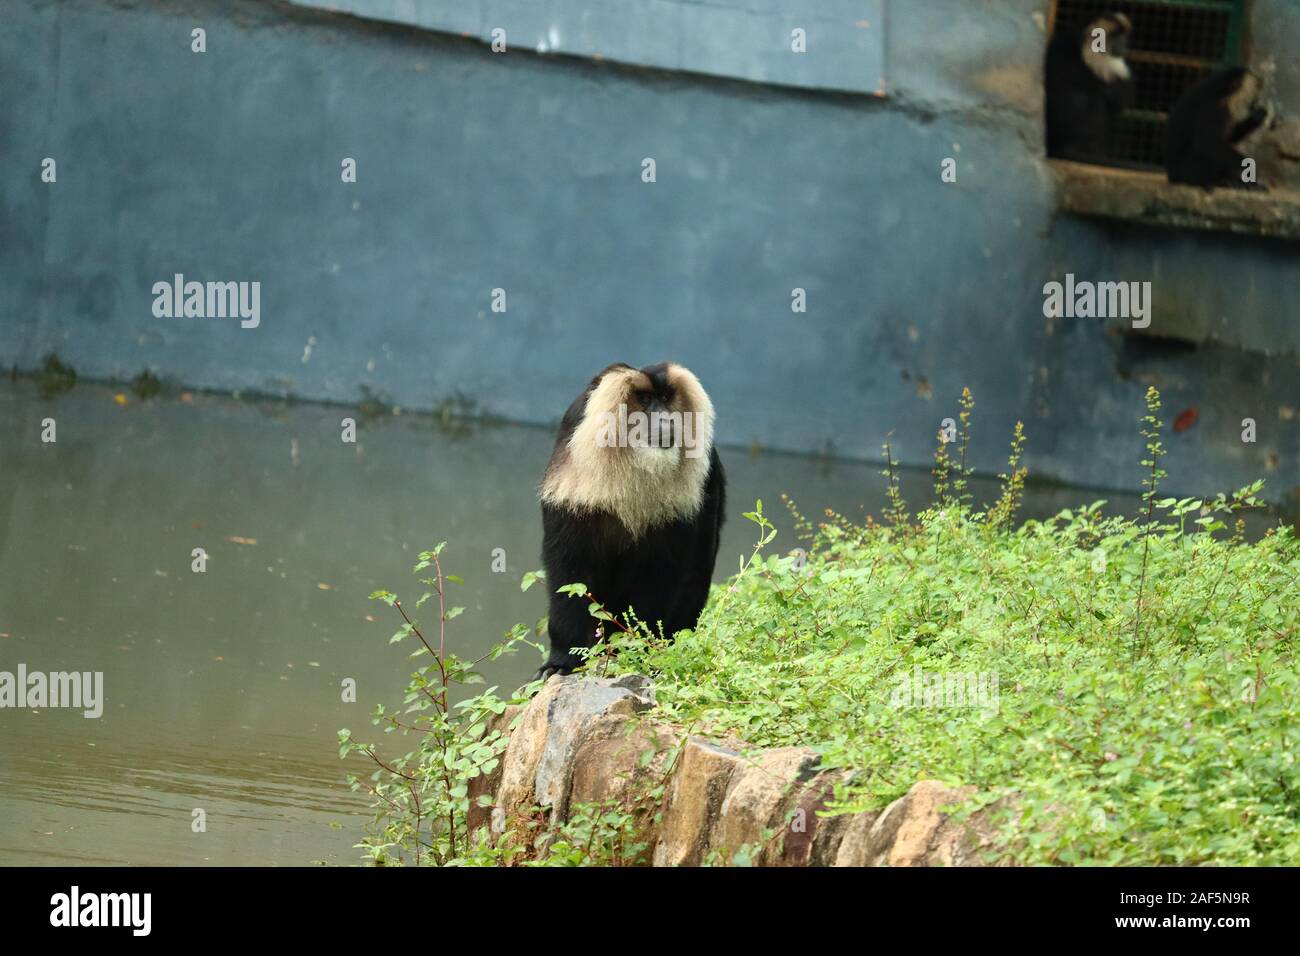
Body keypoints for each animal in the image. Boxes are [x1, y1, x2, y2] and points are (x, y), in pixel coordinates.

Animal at [535, 362, 726, 680]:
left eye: (665, 397)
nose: (666, 420)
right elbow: (569, 572)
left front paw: (636, 650)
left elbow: (661, 575)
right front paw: (563, 659)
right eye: (645, 400)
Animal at [1045, 12, 1135, 163]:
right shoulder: (1061, 51)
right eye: (1115, 38)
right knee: (1081, 98)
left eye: (1123, 38)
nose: (1124, 44)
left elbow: (1119, 101)